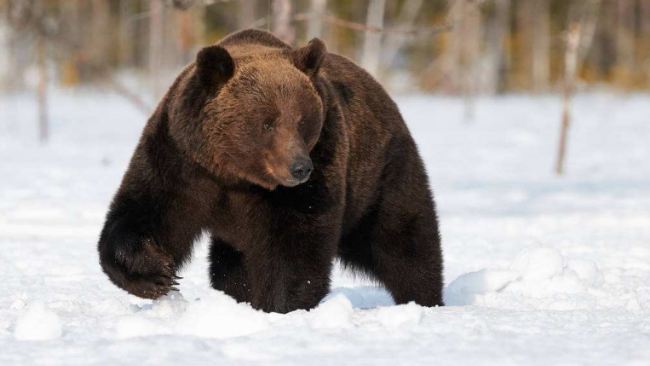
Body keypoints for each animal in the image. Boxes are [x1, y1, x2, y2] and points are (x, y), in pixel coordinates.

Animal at [96, 29, 442, 314]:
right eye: (268, 122)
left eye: (302, 121)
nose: (300, 167)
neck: (234, 173)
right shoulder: (182, 161)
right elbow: (144, 211)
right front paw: (155, 273)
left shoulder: (318, 166)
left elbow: (296, 247)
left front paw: (279, 307)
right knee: (231, 267)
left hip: (379, 174)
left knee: (404, 242)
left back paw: (425, 299)